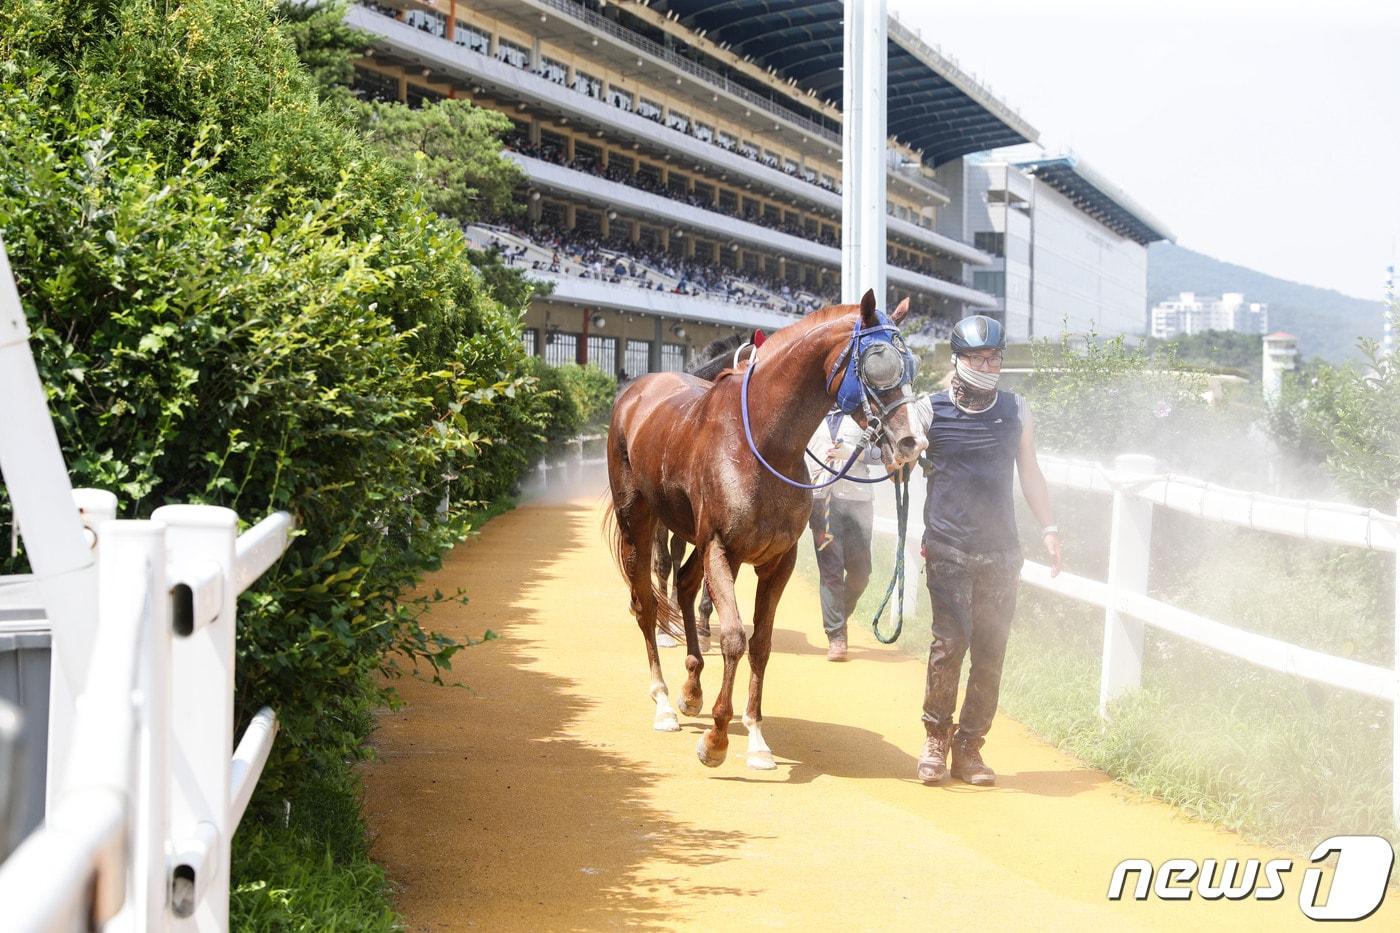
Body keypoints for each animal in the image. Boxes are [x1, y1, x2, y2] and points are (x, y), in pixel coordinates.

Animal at [604, 288, 924, 762]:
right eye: (878, 361)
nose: (912, 443)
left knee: (684, 583)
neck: (760, 444)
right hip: (638, 521)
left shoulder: (777, 559)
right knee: (646, 601)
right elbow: (735, 637)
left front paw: (755, 735)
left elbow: (760, 643)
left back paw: (691, 688)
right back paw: (662, 701)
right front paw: (717, 737)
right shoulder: (720, 546)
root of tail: (635, 393)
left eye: (913, 365)